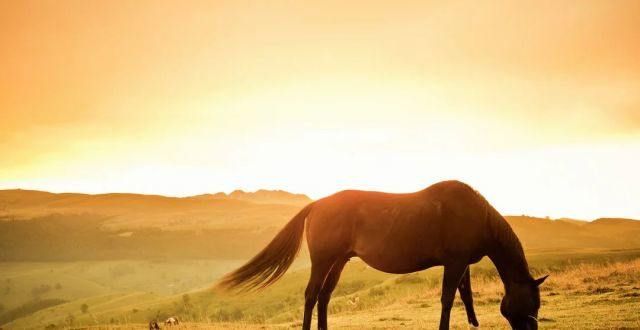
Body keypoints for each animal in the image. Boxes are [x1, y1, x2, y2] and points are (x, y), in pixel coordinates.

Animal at [218, 180, 548, 330]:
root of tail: (317, 204)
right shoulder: (454, 263)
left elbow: (465, 294)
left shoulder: (462, 262)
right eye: (529, 304)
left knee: (324, 295)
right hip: (323, 260)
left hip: (339, 261)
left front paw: (473, 323)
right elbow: (447, 298)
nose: (531, 329)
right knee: (311, 295)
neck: (476, 216)